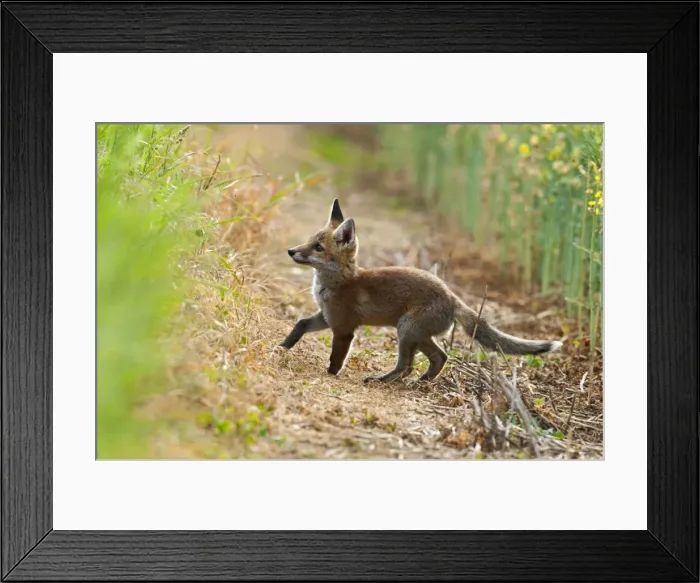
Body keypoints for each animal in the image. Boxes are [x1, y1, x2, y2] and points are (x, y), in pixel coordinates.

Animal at [279, 199, 562, 383]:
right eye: (309, 241)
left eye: (318, 248)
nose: (291, 251)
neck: (336, 283)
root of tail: (452, 296)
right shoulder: (326, 317)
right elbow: (301, 323)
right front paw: (284, 345)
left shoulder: (344, 328)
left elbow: (336, 357)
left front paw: (331, 374)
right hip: (417, 335)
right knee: (440, 357)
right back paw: (423, 382)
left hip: (406, 332)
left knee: (406, 366)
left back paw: (384, 379)